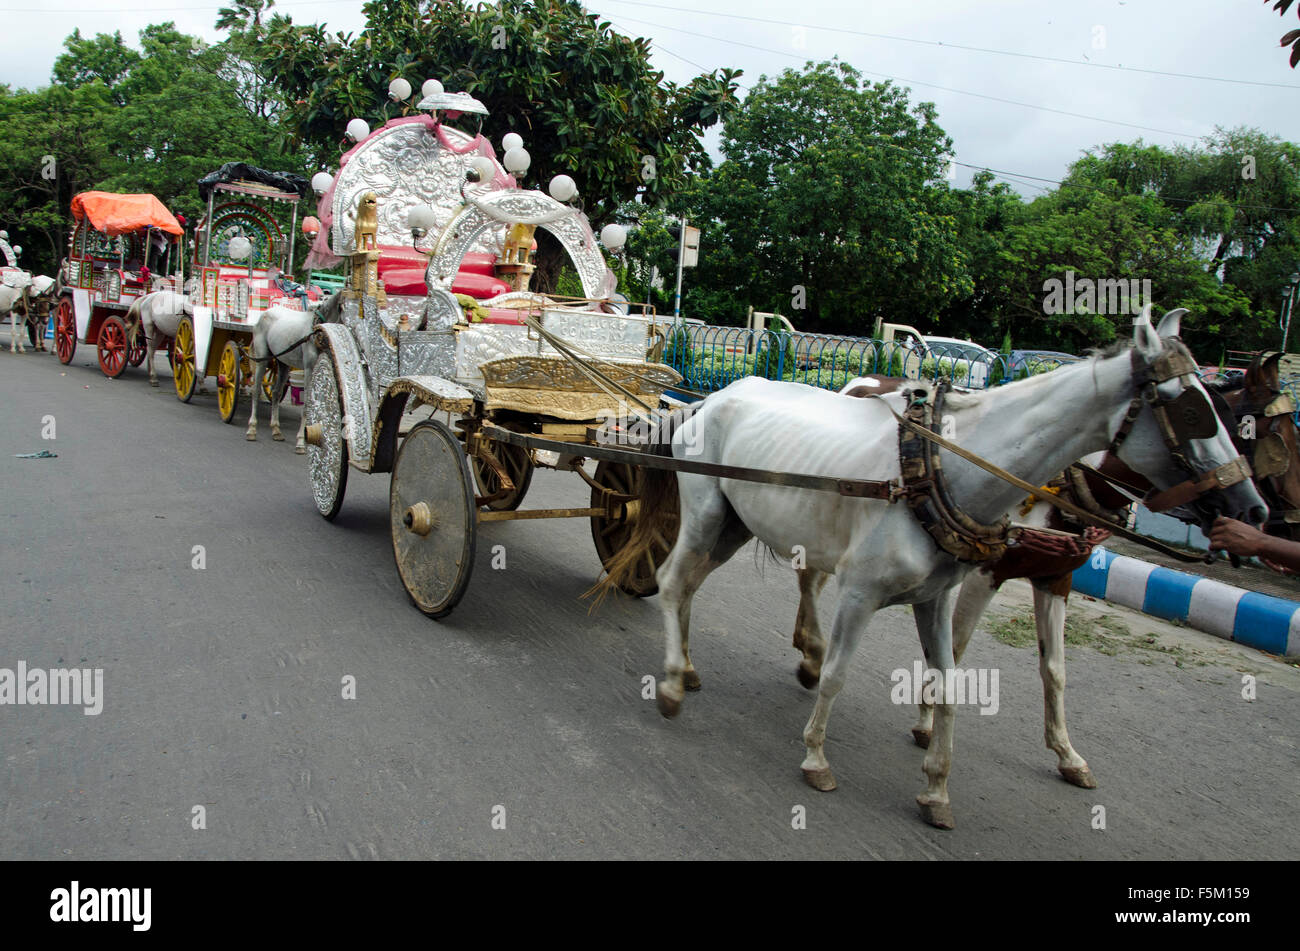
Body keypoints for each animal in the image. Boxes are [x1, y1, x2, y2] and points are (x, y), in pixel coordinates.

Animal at [244, 289, 343, 452]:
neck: (317, 331)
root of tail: (265, 313)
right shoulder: (309, 369)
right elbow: (307, 403)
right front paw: (301, 441)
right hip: (262, 359)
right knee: (256, 390)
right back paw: (251, 429)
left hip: (283, 363)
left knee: (276, 392)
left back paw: (276, 430)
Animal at [608, 307, 1268, 826]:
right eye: (1193, 408)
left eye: (1222, 406)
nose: (1252, 508)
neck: (943, 467)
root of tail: (713, 398)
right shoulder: (862, 594)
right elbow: (839, 675)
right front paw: (816, 756)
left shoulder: (941, 595)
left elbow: (954, 683)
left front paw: (937, 788)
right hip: (703, 512)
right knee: (674, 581)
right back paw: (672, 683)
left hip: (735, 524)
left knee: (694, 585)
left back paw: (689, 667)